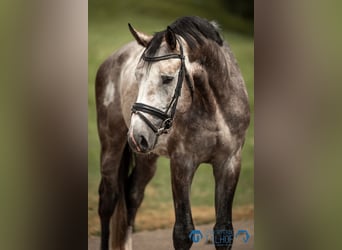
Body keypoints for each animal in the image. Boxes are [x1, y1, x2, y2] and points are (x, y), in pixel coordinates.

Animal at [95, 16, 250, 250]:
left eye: (167, 78)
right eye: (138, 76)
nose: (136, 136)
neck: (214, 107)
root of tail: (111, 59)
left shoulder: (230, 163)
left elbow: (224, 230)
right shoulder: (182, 163)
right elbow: (182, 232)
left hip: (147, 156)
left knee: (132, 197)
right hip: (111, 144)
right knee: (108, 200)